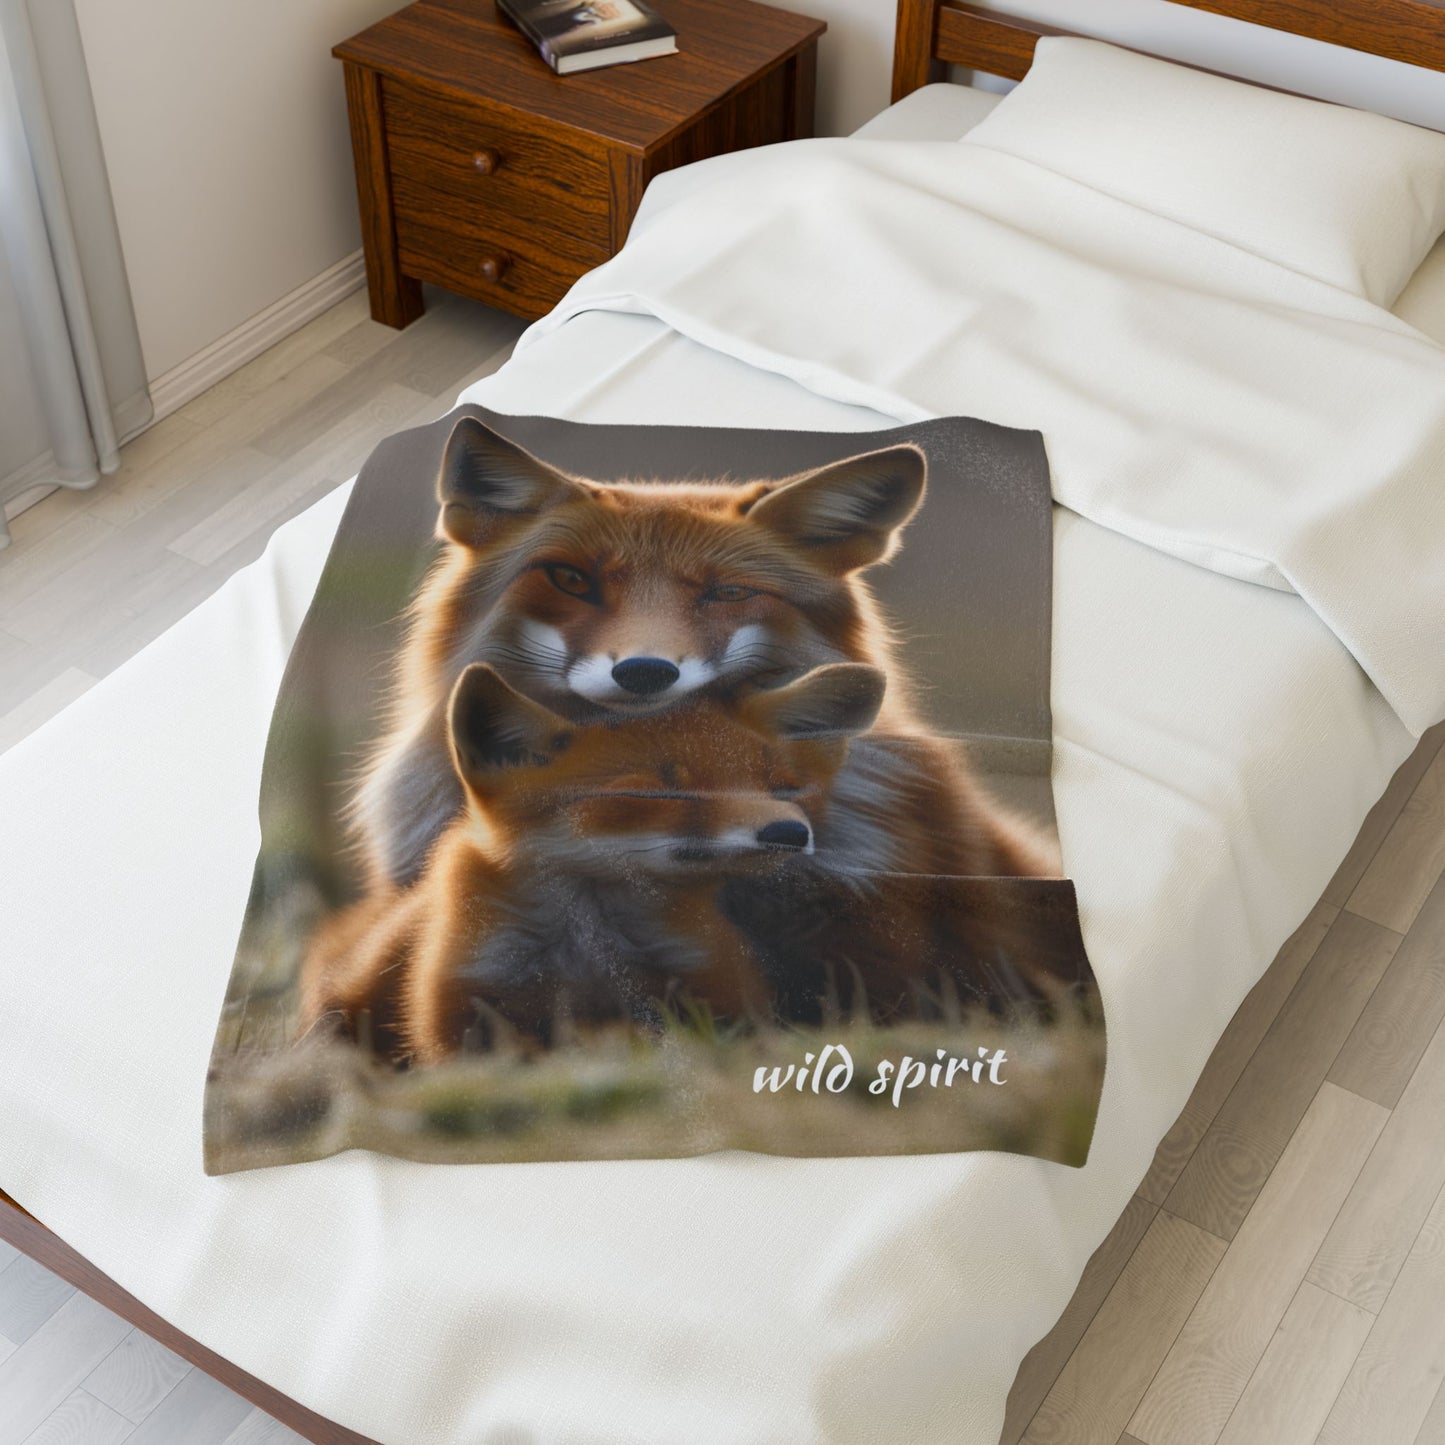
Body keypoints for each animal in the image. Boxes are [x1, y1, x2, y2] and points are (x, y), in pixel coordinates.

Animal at [300, 659, 887, 1064]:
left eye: (784, 789)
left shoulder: (716, 996)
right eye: (659, 795)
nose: (789, 833)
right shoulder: (463, 1013)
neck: (588, 955)